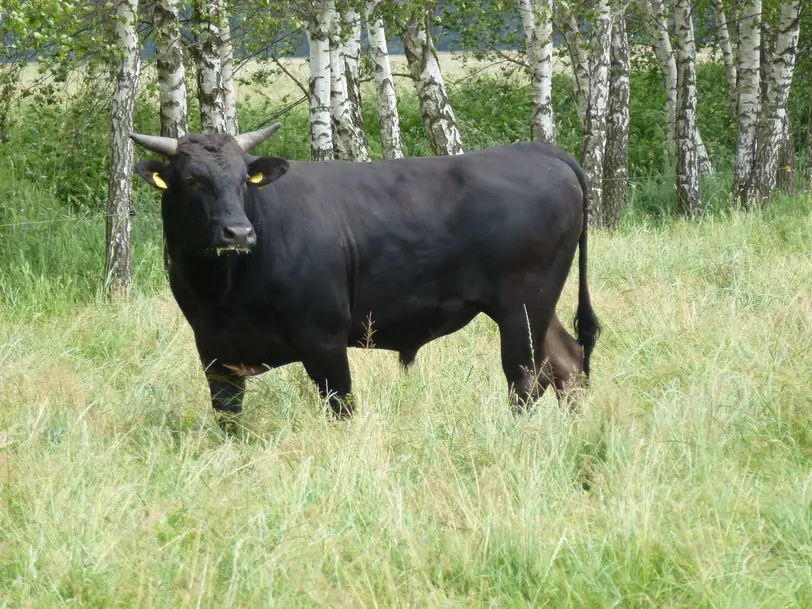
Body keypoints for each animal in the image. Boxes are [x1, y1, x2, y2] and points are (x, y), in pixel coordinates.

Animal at [130, 124, 600, 428]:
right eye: (192, 180)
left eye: (245, 178)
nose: (239, 233)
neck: (223, 292)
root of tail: (540, 151)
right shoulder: (214, 352)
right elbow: (228, 419)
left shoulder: (323, 338)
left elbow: (341, 407)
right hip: (536, 308)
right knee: (568, 364)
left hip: (523, 305)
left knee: (526, 377)